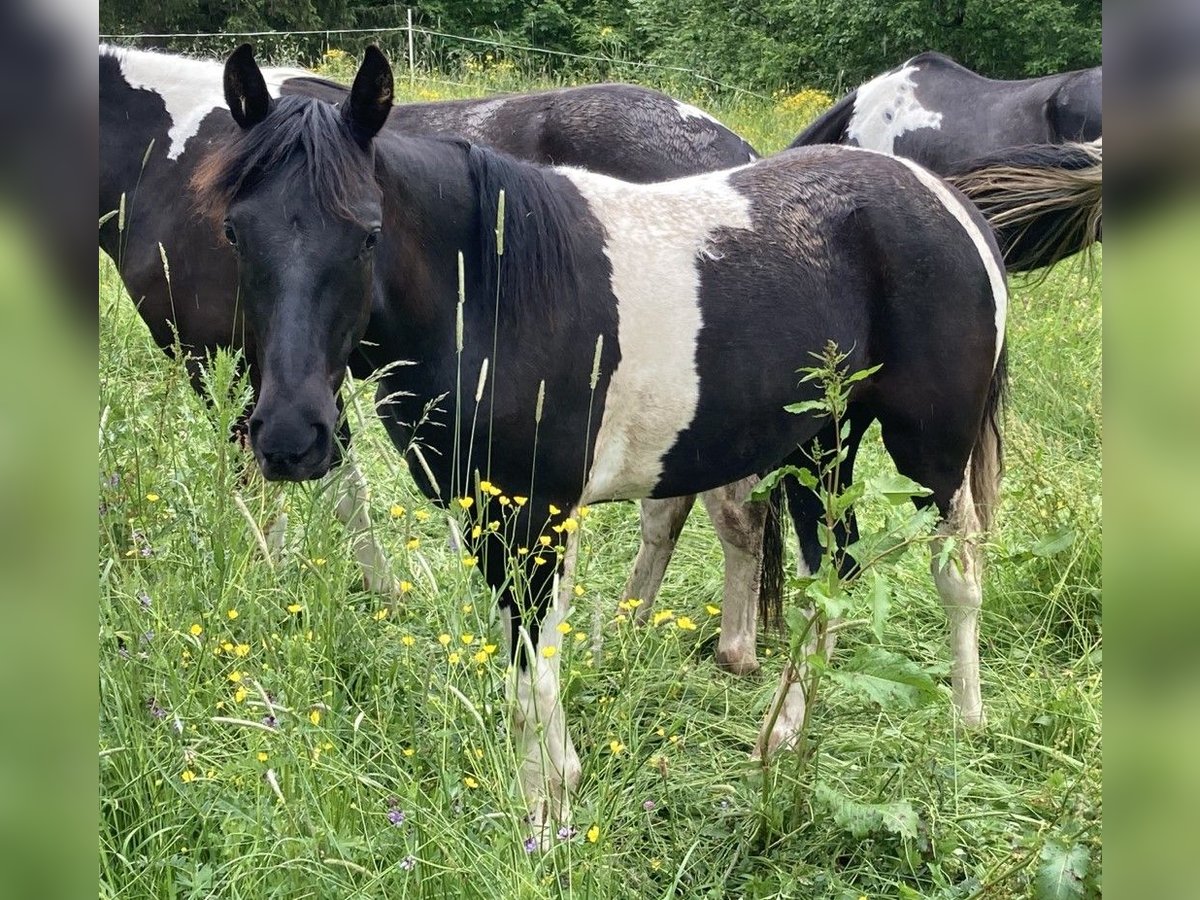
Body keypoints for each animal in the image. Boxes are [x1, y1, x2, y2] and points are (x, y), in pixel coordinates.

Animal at [100, 42, 768, 633]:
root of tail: (733, 148)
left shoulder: (236, 368)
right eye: (231, 232)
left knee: (726, 513)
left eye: (371, 236)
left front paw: (287, 584)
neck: (164, 157)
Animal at [192, 45, 1008, 840]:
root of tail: (947, 203)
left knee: (957, 572)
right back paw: (782, 743)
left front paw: (547, 814)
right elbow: (523, 657)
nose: (289, 436)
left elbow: (530, 672)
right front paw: (551, 792)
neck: (490, 292)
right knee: (829, 574)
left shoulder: (536, 515)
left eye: (367, 234)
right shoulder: (485, 515)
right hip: (819, 447)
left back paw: (966, 722)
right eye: (234, 231)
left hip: (930, 454)